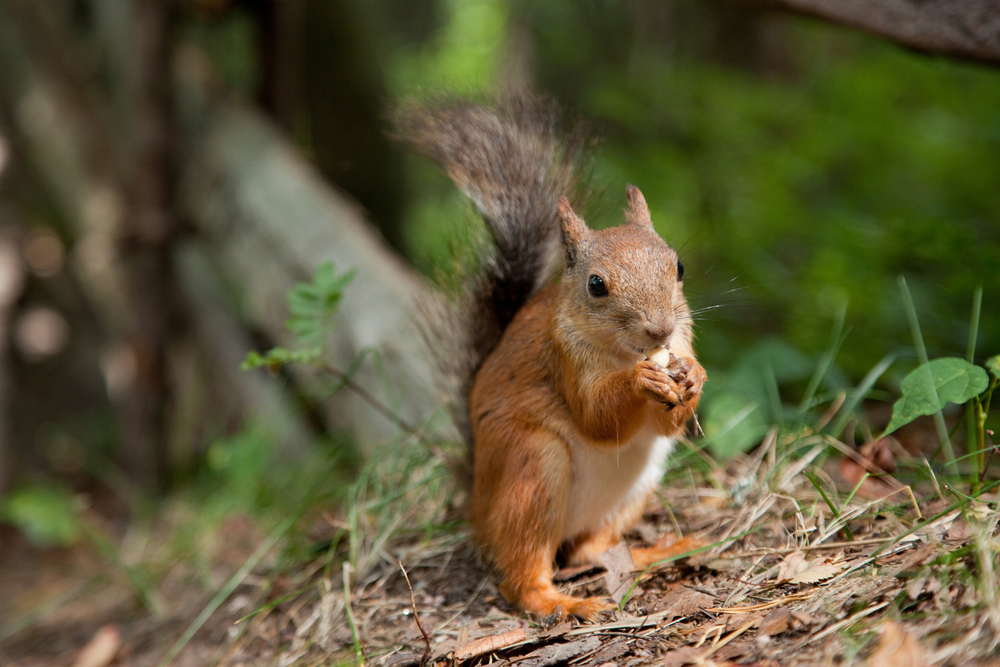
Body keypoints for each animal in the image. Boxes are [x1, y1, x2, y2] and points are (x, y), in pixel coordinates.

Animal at [395, 95, 706, 620]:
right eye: (596, 285)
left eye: (678, 266)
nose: (659, 329)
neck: (624, 353)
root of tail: (477, 507)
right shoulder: (565, 359)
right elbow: (597, 418)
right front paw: (641, 382)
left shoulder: (681, 341)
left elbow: (668, 422)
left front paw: (695, 377)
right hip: (532, 471)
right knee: (522, 576)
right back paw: (564, 603)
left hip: (635, 487)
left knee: (587, 550)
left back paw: (657, 550)